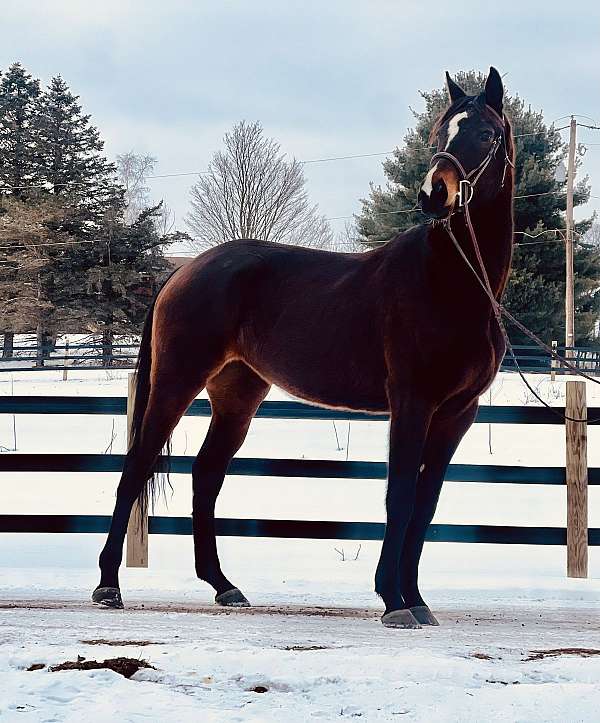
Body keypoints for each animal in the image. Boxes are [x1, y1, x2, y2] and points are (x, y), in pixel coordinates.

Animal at [94, 69, 516, 628]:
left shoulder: (456, 414)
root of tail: (183, 272)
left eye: (486, 135)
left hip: (237, 395)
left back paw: (224, 585)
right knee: (136, 468)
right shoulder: (412, 404)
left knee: (207, 475)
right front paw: (393, 599)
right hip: (175, 382)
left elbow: (425, 504)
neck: (452, 283)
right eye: (437, 134)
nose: (434, 193)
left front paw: (417, 599)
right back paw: (108, 585)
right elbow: (400, 496)